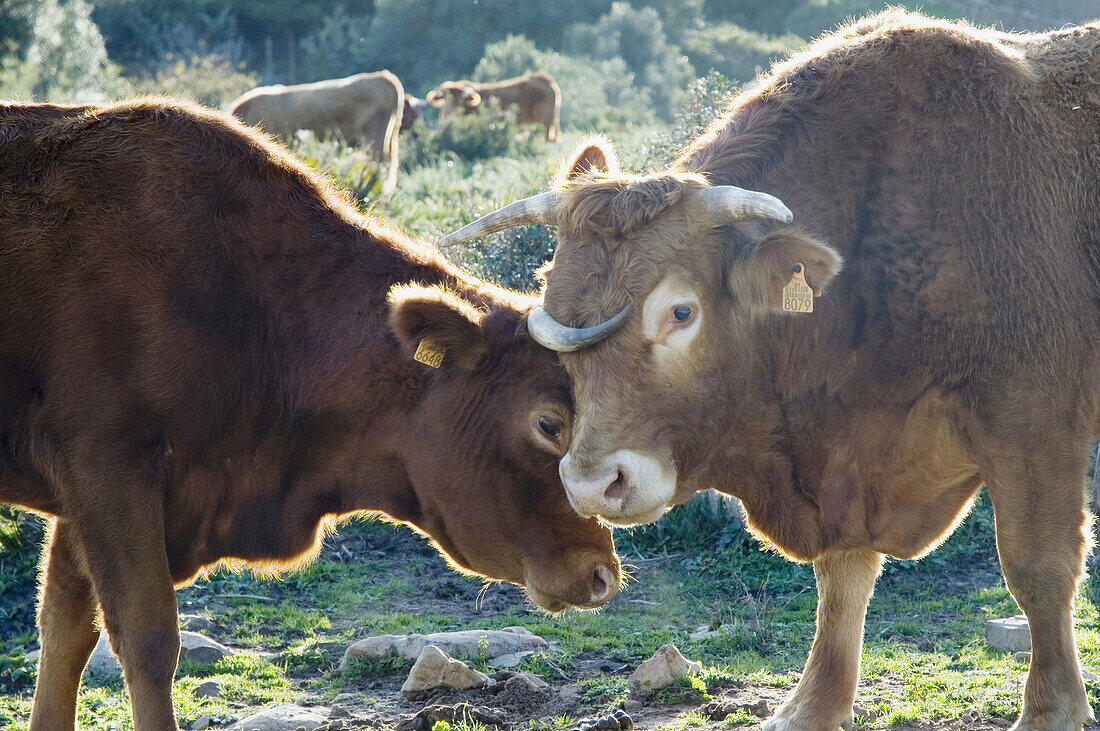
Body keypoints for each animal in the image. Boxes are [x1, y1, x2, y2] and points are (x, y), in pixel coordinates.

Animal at [0, 100, 620, 729]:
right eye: (548, 423)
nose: (602, 574)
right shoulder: (109, 472)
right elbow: (146, 638)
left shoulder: (85, 506)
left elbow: (66, 633)